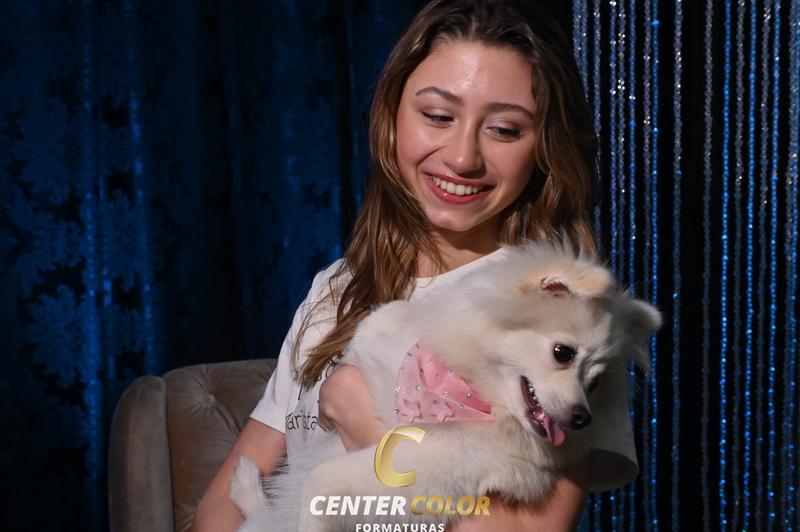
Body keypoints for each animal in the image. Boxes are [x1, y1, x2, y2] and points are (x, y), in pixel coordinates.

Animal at [229, 239, 662, 531]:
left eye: (595, 382)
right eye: (562, 353)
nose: (581, 419)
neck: (464, 389)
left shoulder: (431, 466)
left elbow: (320, 483)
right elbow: (383, 319)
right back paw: (245, 483)